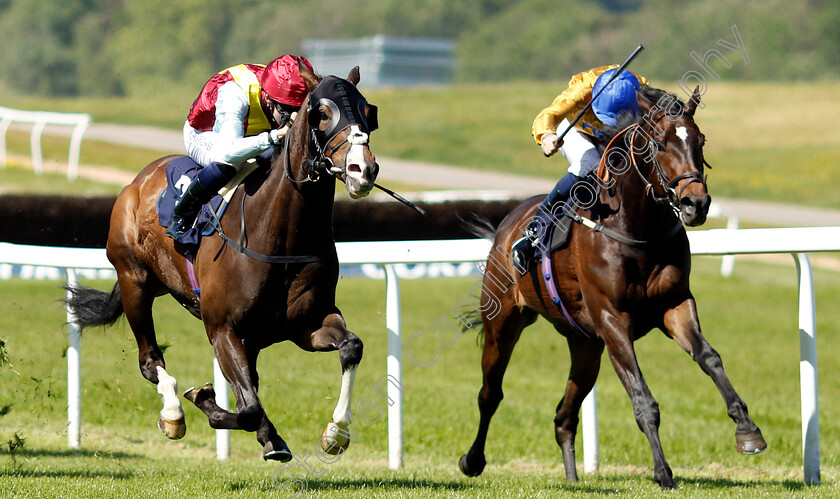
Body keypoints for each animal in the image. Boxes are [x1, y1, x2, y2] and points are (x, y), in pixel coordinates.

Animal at [64, 62, 378, 460]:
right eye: (321, 114)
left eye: (368, 112)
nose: (362, 169)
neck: (281, 236)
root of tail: (138, 181)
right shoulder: (223, 328)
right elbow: (248, 407)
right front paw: (204, 398)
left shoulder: (306, 324)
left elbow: (351, 347)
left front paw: (336, 432)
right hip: (134, 280)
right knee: (150, 362)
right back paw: (173, 413)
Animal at [460, 86, 768, 488]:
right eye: (660, 143)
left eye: (700, 140)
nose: (696, 203)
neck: (637, 227)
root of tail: (505, 226)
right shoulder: (612, 319)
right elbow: (642, 398)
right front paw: (663, 471)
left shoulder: (674, 305)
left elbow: (710, 357)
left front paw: (747, 430)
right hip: (503, 322)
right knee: (490, 393)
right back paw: (472, 460)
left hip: (585, 345)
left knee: (564, 415)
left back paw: (573, 478)